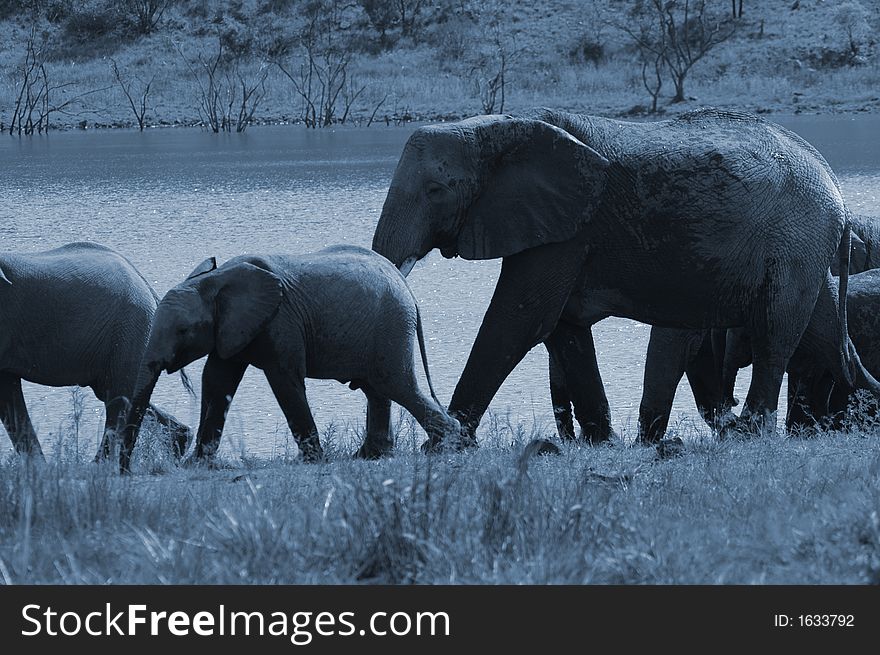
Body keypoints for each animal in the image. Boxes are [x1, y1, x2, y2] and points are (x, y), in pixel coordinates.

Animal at [0, 242, 192, 462]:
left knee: (119, 398)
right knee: (117, 395)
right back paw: (180, 445)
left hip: (129, 331)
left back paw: (99, 464)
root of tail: (145, 283)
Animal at [119, 246, 460, 472]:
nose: (124, 471)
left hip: (391, 327)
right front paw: (198, 465)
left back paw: (444, 447)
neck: (216, 280)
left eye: (183, 330)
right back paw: (369, 456)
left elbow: (283, 380)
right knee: (377, 390)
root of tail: (408, 290)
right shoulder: (232, 328)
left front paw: (313, 461)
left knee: (397, 385)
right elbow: (216, 381)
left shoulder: (280, 321)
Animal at [372, 109, 880, 456]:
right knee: (821, 332)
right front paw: (604, 444)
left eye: (436, 191)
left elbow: (519, 321)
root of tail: (833, 182)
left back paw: (748, 434)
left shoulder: (568, 230)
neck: (503, 126)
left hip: (797, 239)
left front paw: (444, 446)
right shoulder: (558, 229)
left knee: (776, 330)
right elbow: (562, 329)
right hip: (804, 249)